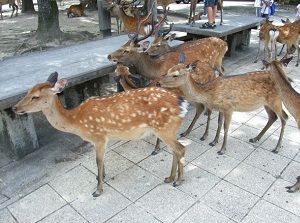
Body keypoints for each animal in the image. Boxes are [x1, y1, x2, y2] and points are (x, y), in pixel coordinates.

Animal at [13, 71, 188, 197]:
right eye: (27, 91)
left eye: (36, 97)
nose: (15, 108)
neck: (77, 121)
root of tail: (183, 104)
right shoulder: (100, 139)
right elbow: (101, 160)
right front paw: (101, 177)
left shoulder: (98, 137)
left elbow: (98, 161)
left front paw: (97, 190)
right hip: (168, 129)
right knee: (176, 150)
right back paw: (169, 178)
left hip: (163, 128)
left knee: (180, 149)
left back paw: (178, 181)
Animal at [156, 52, 288, 155]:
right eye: (168, 70)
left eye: (175, 75)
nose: (158, 83)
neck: (209, 93)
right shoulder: (221, 108)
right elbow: (219, 123)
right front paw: (214, 141)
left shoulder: (229, 108)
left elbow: (226, 126)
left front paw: (222, 149)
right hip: (266, 103)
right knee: (273, 117)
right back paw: (255, 138)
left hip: (276, 100)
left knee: (284, 117)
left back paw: (277, 147)